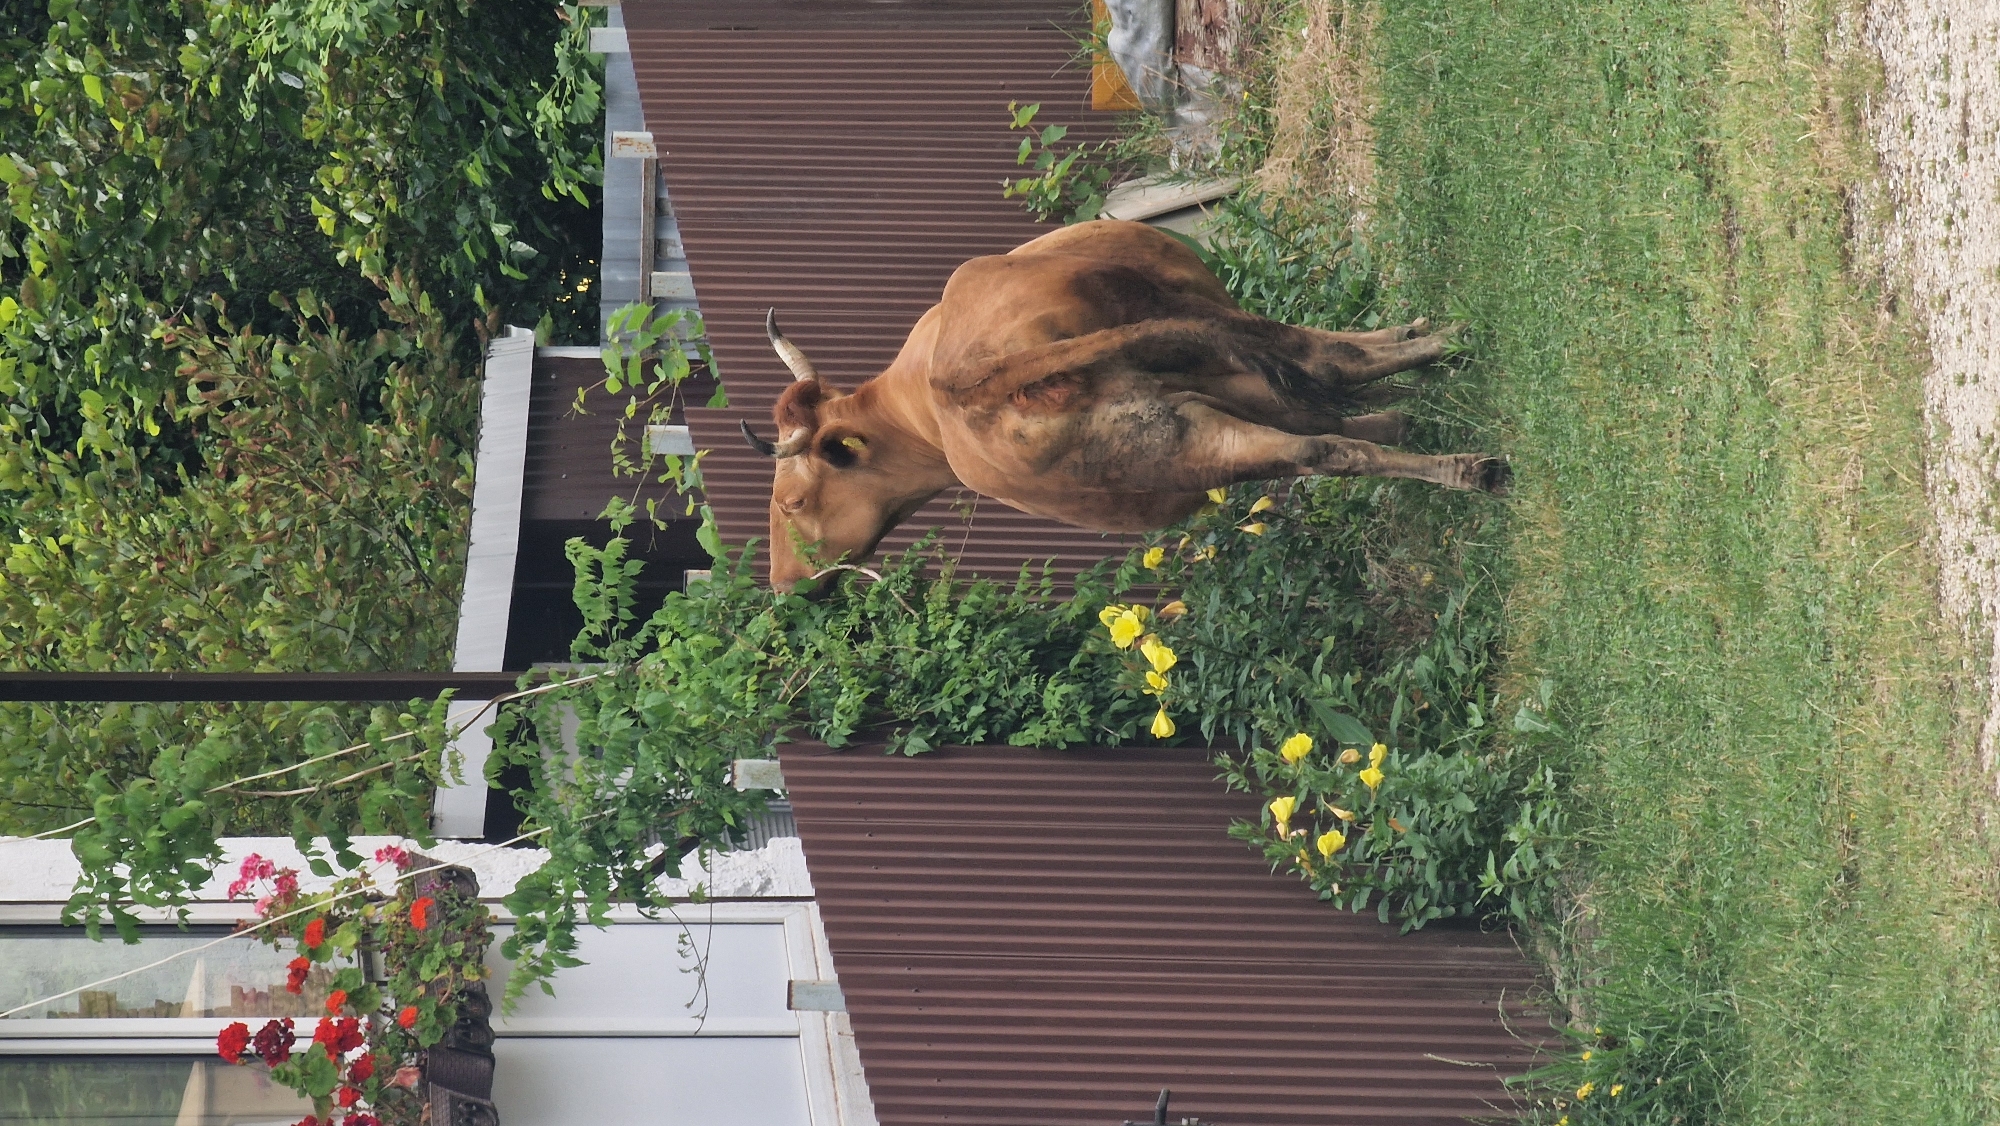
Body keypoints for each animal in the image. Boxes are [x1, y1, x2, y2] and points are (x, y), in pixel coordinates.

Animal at [740, 219, 1508, 588]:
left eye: (791, 502)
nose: (781, 583)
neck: (914, 408)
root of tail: (972, 381)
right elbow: (1333, 398)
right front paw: (1410, 400)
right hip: (1185, 413)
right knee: (1318, 405)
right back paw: (1463, 438)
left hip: (1178, 391)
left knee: (1314, 385)